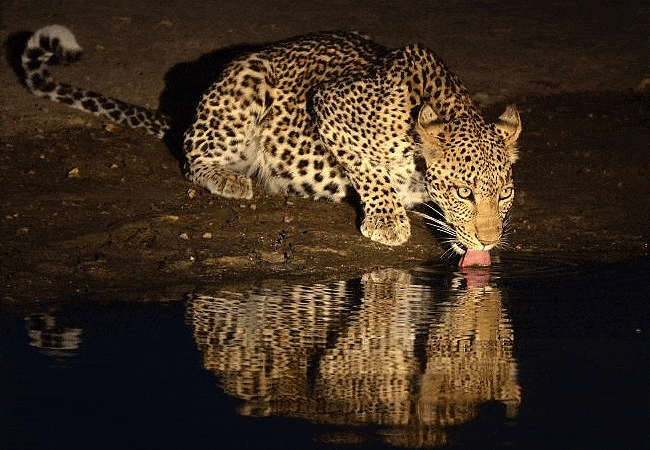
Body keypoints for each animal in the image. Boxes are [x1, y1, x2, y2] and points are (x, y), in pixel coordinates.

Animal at [15, 24, 520, 262]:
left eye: (506, 194)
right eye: (463, 193)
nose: (490, 241)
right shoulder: (330, 104)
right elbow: (369, 168)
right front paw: (387, 220)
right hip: (246, 79)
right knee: (192, 156)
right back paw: (230, 178)